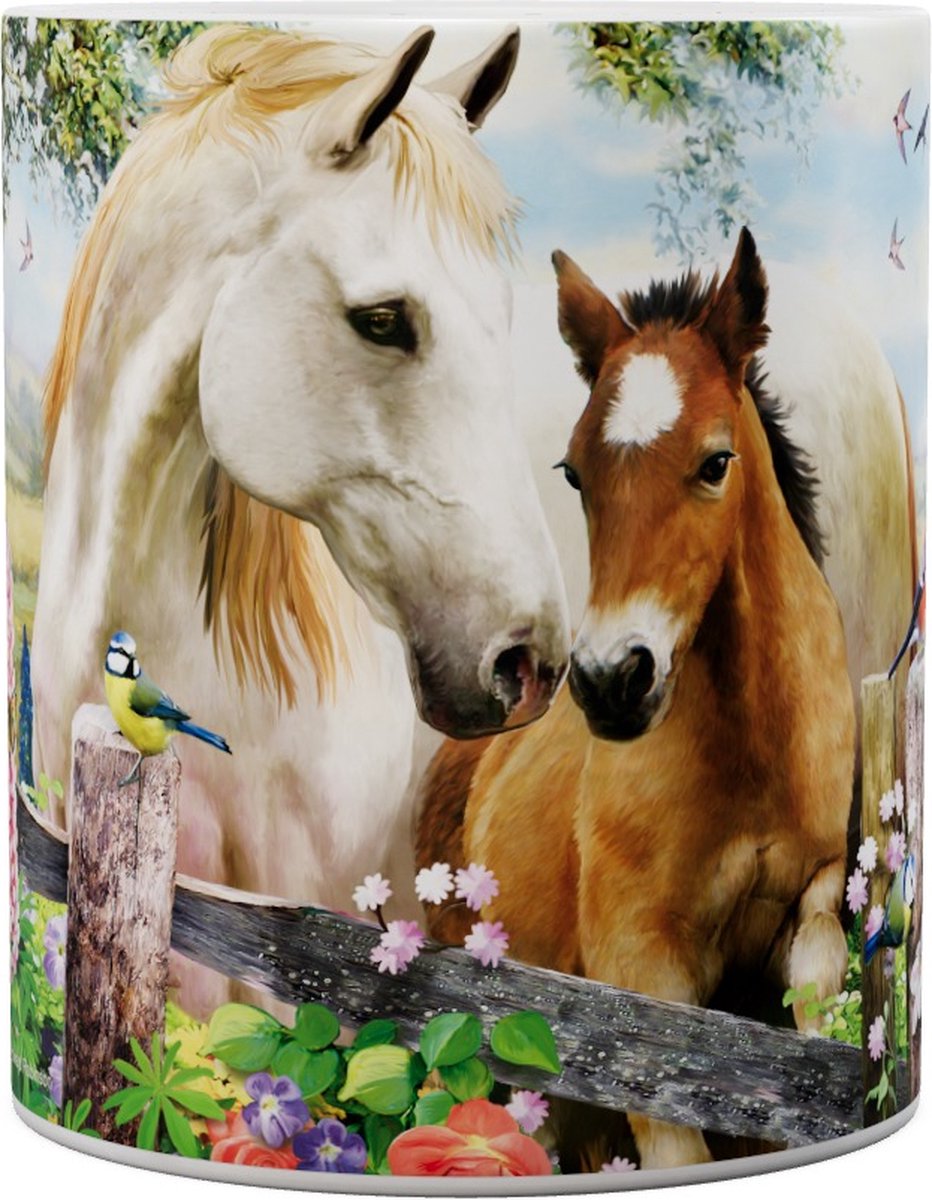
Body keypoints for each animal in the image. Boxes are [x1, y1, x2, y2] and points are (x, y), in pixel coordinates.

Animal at [419, 229, 889, 1169]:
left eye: (715, 462)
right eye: (573, 472)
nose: (610, 680)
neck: (753, 753)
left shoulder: (817, 901)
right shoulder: (641, 972)